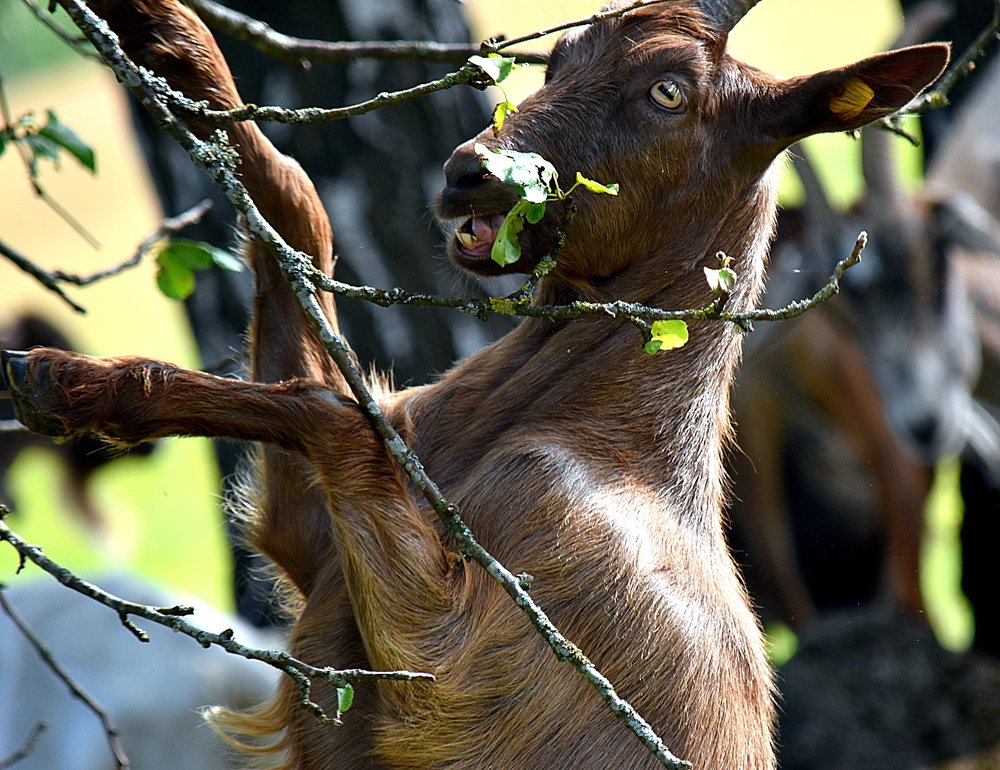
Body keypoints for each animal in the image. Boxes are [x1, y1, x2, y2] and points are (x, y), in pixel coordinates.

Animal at [0, 0, 948, 767]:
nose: (469, 172)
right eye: (560, 56)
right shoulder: (322, 552)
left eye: (669, 92)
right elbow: (301, 213)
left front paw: (72, 385)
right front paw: (167, 34)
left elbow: (333, 411)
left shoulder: (456, 671)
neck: (608, 444)